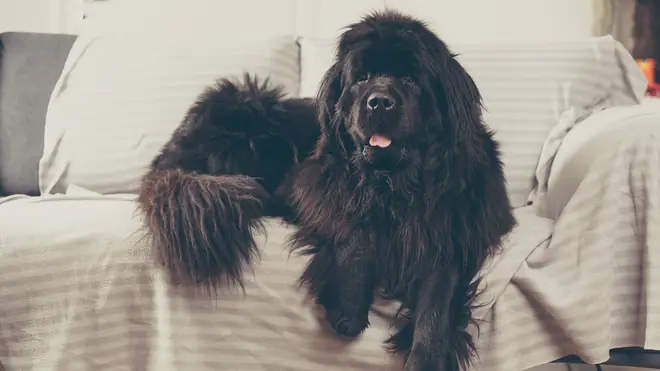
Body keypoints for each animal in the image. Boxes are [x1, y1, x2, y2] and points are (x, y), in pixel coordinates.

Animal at [138, 10, 516, 370]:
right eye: (361, 78)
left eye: (410, 79)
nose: (379, 101)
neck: (394, 185)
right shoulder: (310, 189)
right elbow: (351, 226)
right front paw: (348, 305)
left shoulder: (455, 229)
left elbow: (439, 294)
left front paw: (427, 357)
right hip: (253, 115)